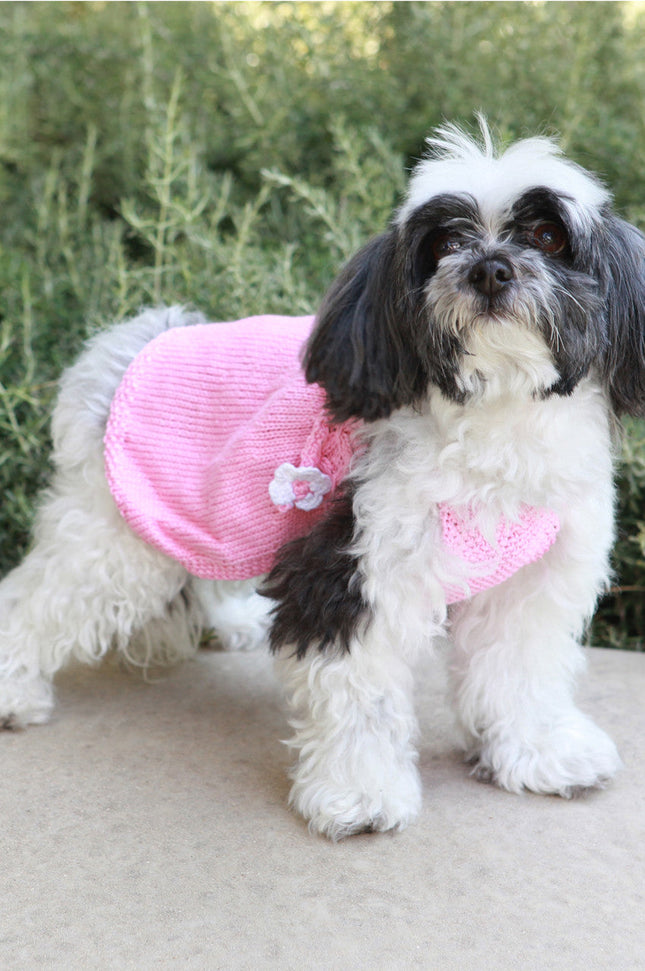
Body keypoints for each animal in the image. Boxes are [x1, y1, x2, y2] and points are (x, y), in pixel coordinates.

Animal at [1, 121, 644, 840]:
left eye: (547, 236)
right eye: (444, 244)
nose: (488, 269)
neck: (496, 414)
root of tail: (133, 340)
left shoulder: (530, 585)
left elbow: (520, 672)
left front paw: (539, 752)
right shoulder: (353, 570)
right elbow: (360, 693)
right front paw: (360, 793)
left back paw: (230, 620)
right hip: (118, 534)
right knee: (41, 598)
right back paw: (14, 690)